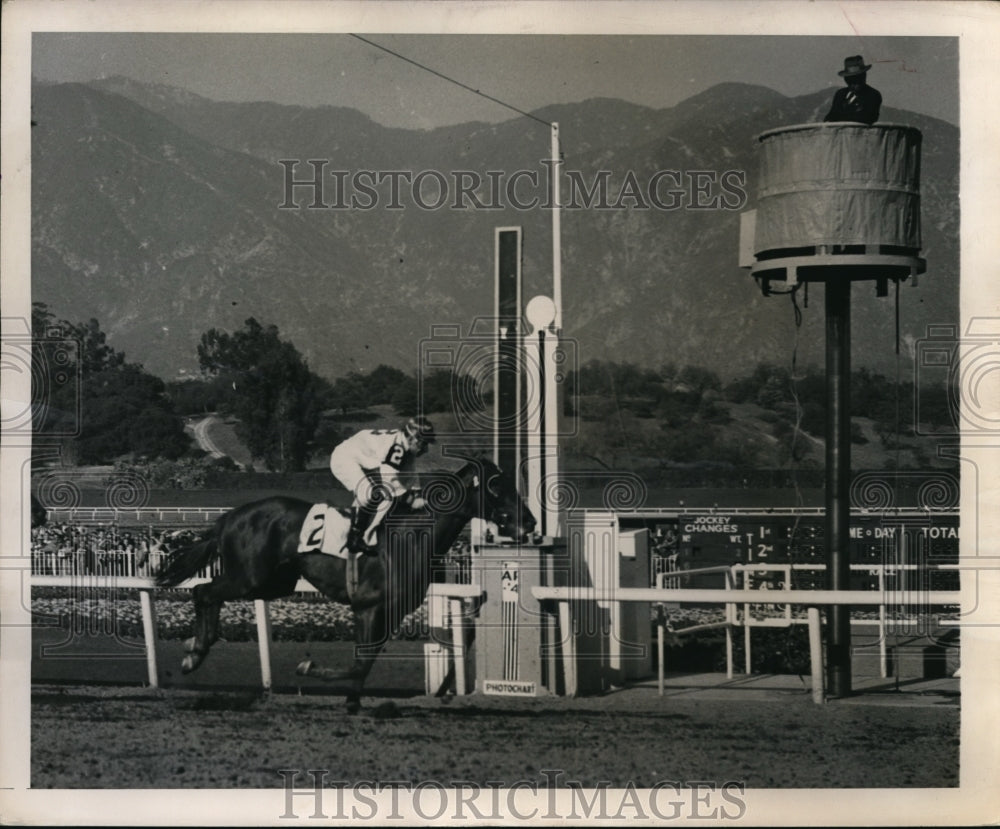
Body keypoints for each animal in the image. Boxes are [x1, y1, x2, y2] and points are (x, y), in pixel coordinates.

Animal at [155, 456, 536, 708]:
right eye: (496, 487)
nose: (530, 522)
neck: (411, 537)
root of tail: (232, 515)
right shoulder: (368, 607)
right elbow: (359, 661)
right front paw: (310, 668)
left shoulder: (391, 613)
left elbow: (364, 663)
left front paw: (353, 700)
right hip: (250, 578)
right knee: (204, 590)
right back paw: (194, 654)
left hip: (274, 583)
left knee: (209, 594)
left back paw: (195, 648)